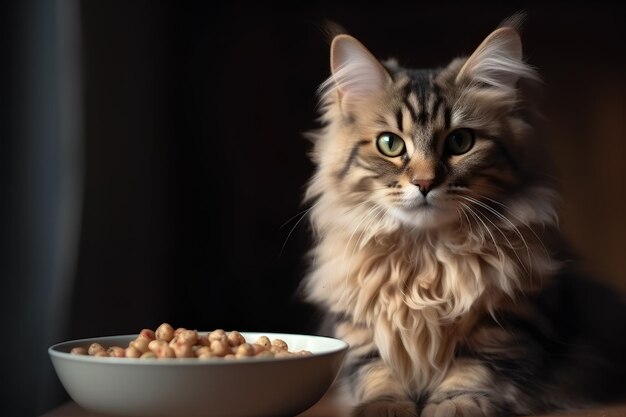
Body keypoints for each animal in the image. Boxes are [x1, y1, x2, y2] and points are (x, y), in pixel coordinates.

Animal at [298, 13, 624, 416]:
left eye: (460, 142)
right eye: (390, 144)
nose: (424, 182)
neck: (424, 256)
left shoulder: (508, 317)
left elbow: (475, 366)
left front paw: (458, 403)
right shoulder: (357, 323)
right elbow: (377, 370)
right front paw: (383, 405)